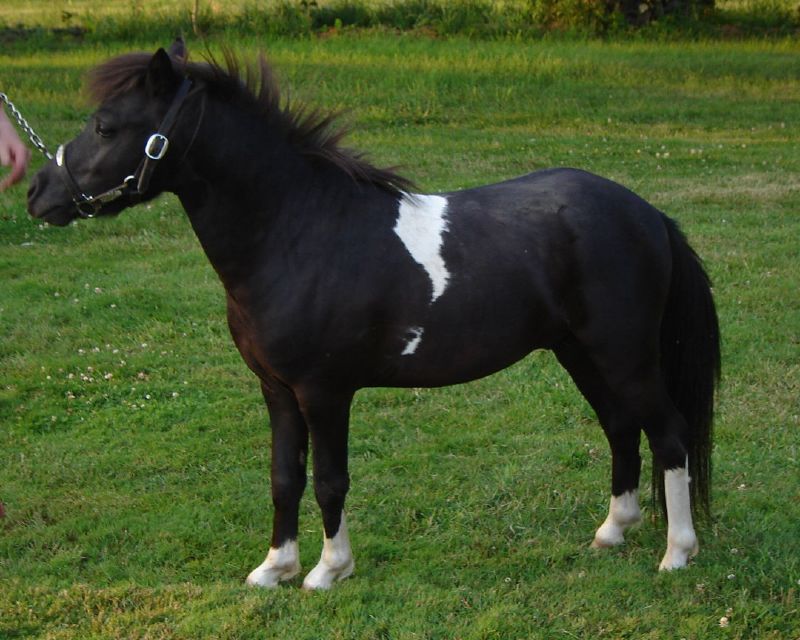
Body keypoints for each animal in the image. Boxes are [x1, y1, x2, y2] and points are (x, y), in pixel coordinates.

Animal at [27, 40, 720, 589]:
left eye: (106, 126)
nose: (38, 193)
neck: (299, 232)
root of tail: (648, 214)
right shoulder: (276, 390)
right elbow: (284, 476)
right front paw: (273, 569)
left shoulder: (325, 391)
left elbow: (330, 480)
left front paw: (328, 571)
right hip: (581, 353)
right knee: (620, 428)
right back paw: (613, 533)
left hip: (624, 355)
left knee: (669, 434)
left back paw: (676, 554)